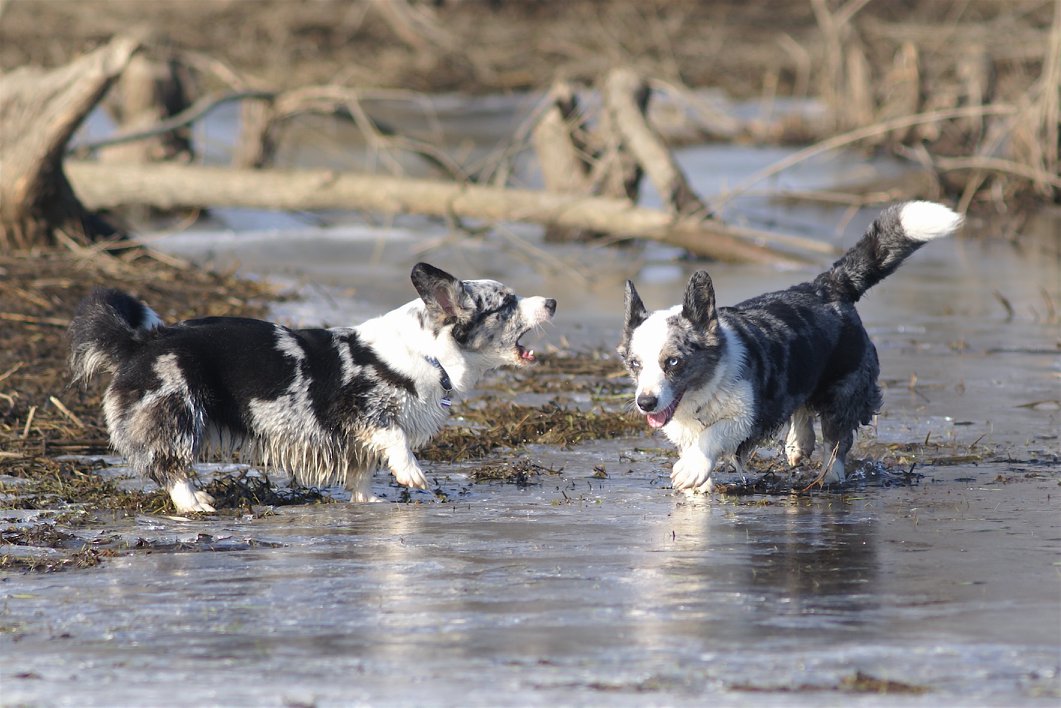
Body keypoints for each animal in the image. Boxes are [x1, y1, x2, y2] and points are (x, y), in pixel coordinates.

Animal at [68, 263, 555, 511]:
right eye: (506, 304)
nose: (552, 301)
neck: (427, 351)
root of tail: (140, 342)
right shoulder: (363, 412)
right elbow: (396, 441)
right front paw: (411, 473)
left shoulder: (357, 443)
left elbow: (362, 471)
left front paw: (367, 500)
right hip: (178, 413)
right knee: (169, 466)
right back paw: (194, 504)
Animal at [619, 200, 967, 492]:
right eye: (634, 364)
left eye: (673, 361)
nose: (645, 403)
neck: (701, 392)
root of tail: (827, 286)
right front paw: (697, 487)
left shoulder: (748, 416)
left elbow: (713, 435)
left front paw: (690, 469)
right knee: (802, 404)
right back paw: (798, 444)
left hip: (844, 390)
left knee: (837, 441)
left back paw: (829, 477)